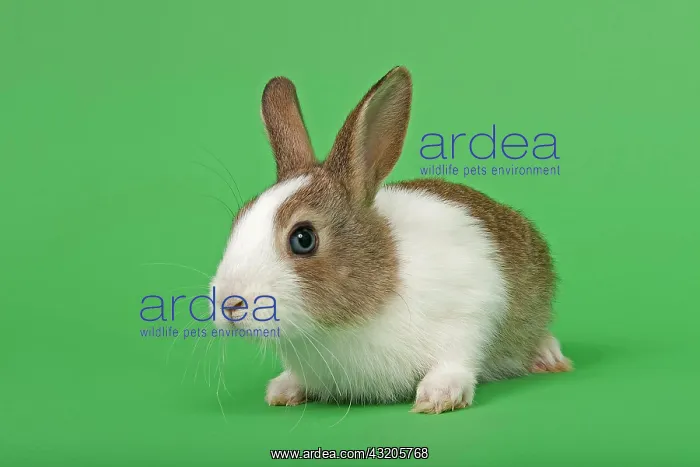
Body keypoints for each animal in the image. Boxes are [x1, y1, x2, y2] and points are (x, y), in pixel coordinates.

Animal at [210, 66, 571, 414]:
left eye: (303, 238)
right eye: (238, 220)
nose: (229, 304)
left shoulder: (471, 308)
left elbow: (458, 355)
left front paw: (439, 396)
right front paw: (283, 389)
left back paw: (548, 356)